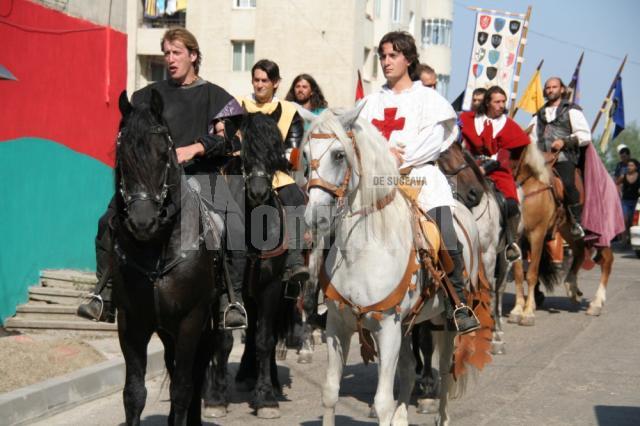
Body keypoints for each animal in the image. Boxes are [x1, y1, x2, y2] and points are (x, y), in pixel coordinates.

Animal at [114, 90, 222, 426]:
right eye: (122, 157)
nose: (142, 222)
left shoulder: (191, 320)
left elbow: (183, 388)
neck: (159, 248)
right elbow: (134, 393)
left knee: (195, 373)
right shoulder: (132, 322)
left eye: (164, 154)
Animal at [204, 110, 296, 420]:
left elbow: (265, 339)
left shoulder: (271, 287)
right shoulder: (225, 286)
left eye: (275, 149)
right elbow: (223, 339)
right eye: (244, 152)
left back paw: (268, 381)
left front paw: (265, 397)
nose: (258, 191)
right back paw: (244, 375)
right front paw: (216, 397)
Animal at [302, 107, 478, 426]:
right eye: (307, 156)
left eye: (338, 155)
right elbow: (330, 391)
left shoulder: (387, 328)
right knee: (408, 370)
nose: (315, 217)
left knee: (445, 373)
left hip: (444, 324)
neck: (363, 252)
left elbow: (382, 402)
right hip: (408, 325)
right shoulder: (338, 325)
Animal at [504, 144, 616, 326]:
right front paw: (517, 310)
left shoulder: (537, 234)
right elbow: (519, 273)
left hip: (597, 234)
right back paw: (572, 287)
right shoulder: (517, 237)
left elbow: (532, 273)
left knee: (606, 260)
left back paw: (596, 304)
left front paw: (528, 313)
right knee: (579, 253)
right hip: (567, 230)